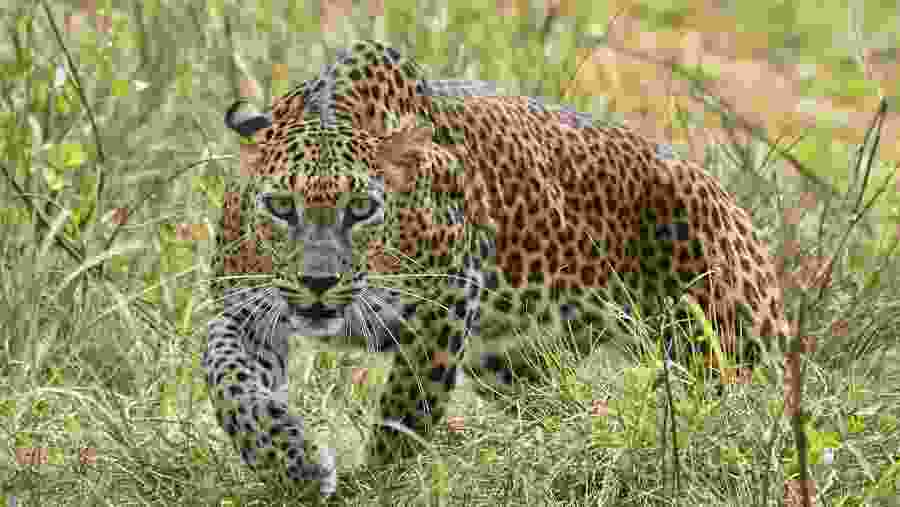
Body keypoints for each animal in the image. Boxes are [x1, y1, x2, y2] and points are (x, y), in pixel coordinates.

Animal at [201, 39, 790, 497]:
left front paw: (372, 484)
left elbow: (405, 411)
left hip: (730, 341)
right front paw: (290, 463)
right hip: (512, 363)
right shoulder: (246, 310)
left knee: (758, 410)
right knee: (563, 406)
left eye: (362, 208)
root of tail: (723, 193)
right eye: (281, 207)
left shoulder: (444, 304)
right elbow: (228, 378)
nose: (318, 284)